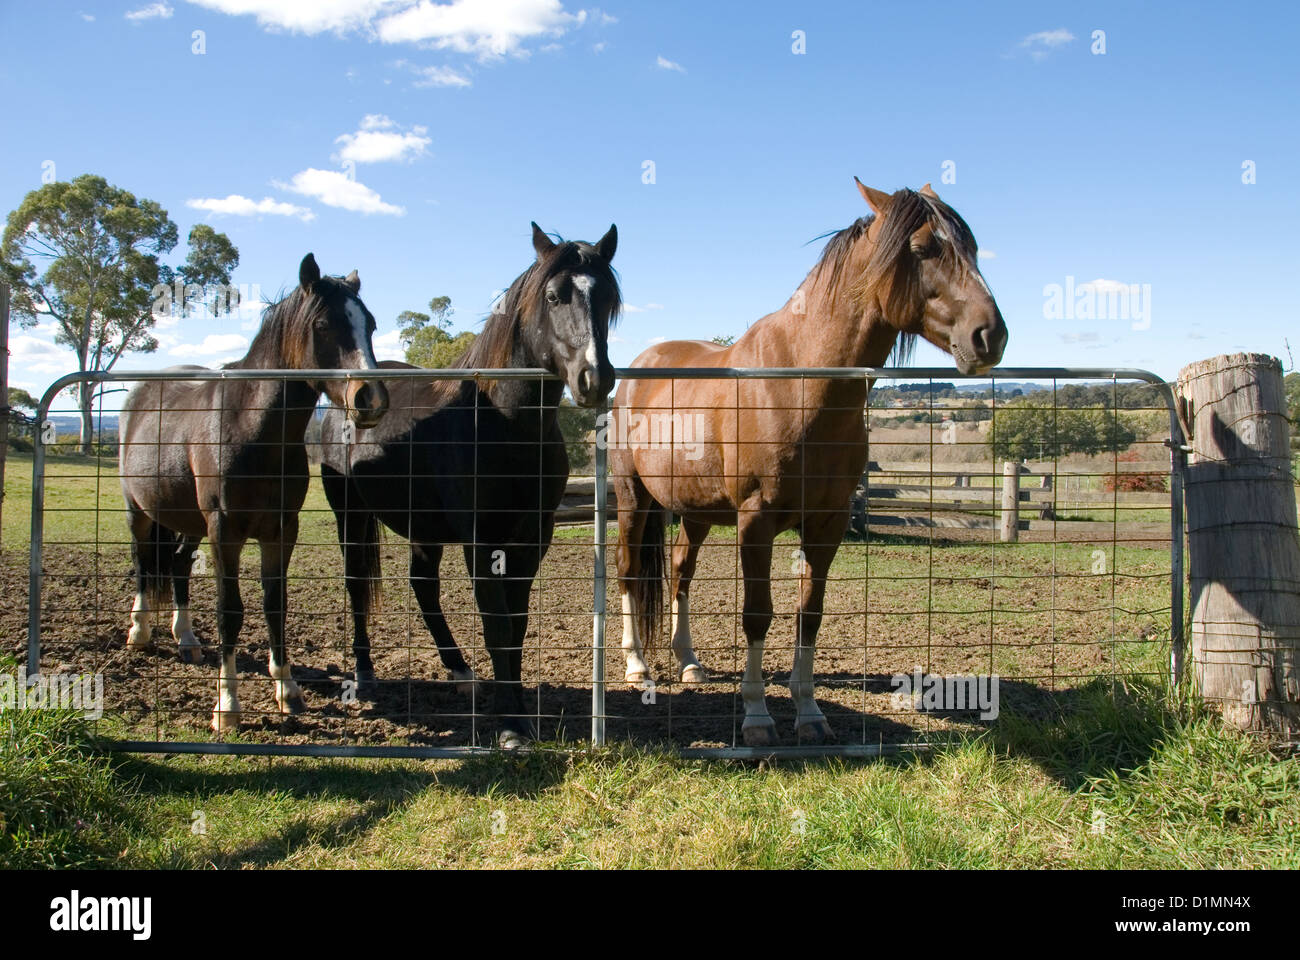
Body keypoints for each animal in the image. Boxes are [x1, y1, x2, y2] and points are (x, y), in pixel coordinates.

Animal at [119, 251, 387, 728]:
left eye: (370, 324)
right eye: (323, 325)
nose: (369, 398)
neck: (251, 428)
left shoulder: (281, 531)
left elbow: (275, 605)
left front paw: (288, 690)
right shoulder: (225, 531)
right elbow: (231, 613)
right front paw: (227, 706)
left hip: (189, 523)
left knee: (177, 565)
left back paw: (186, 638)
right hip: (140, 512)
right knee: (142, 564)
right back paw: (140, 631)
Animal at [317, 223, 616, 749]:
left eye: (609, 299)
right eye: (554, 295)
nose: (594, 379)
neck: (503, 423)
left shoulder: (532, 538)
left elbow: (515, 627)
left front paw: (517, 710)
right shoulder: (481, 542)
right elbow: (496, 626)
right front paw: (511, 726)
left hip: (423, 528)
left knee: (423, 587)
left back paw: (459, 670)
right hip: (348, 513)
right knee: (356, 586)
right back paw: (364, 674)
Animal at [613, 180, 1008, 749]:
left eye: (973, 248)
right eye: (922, 248)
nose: (990, 335)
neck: (802, 384)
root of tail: (638, 368)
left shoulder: (827, 524)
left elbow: (809, 615)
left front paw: (809, 713)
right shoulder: (755, 522)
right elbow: (758, 615)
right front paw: (757, 717)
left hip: (695, 510)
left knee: (683, 573)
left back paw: (688, 662)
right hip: (633, 498)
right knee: (626, 570)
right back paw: (637, 665)